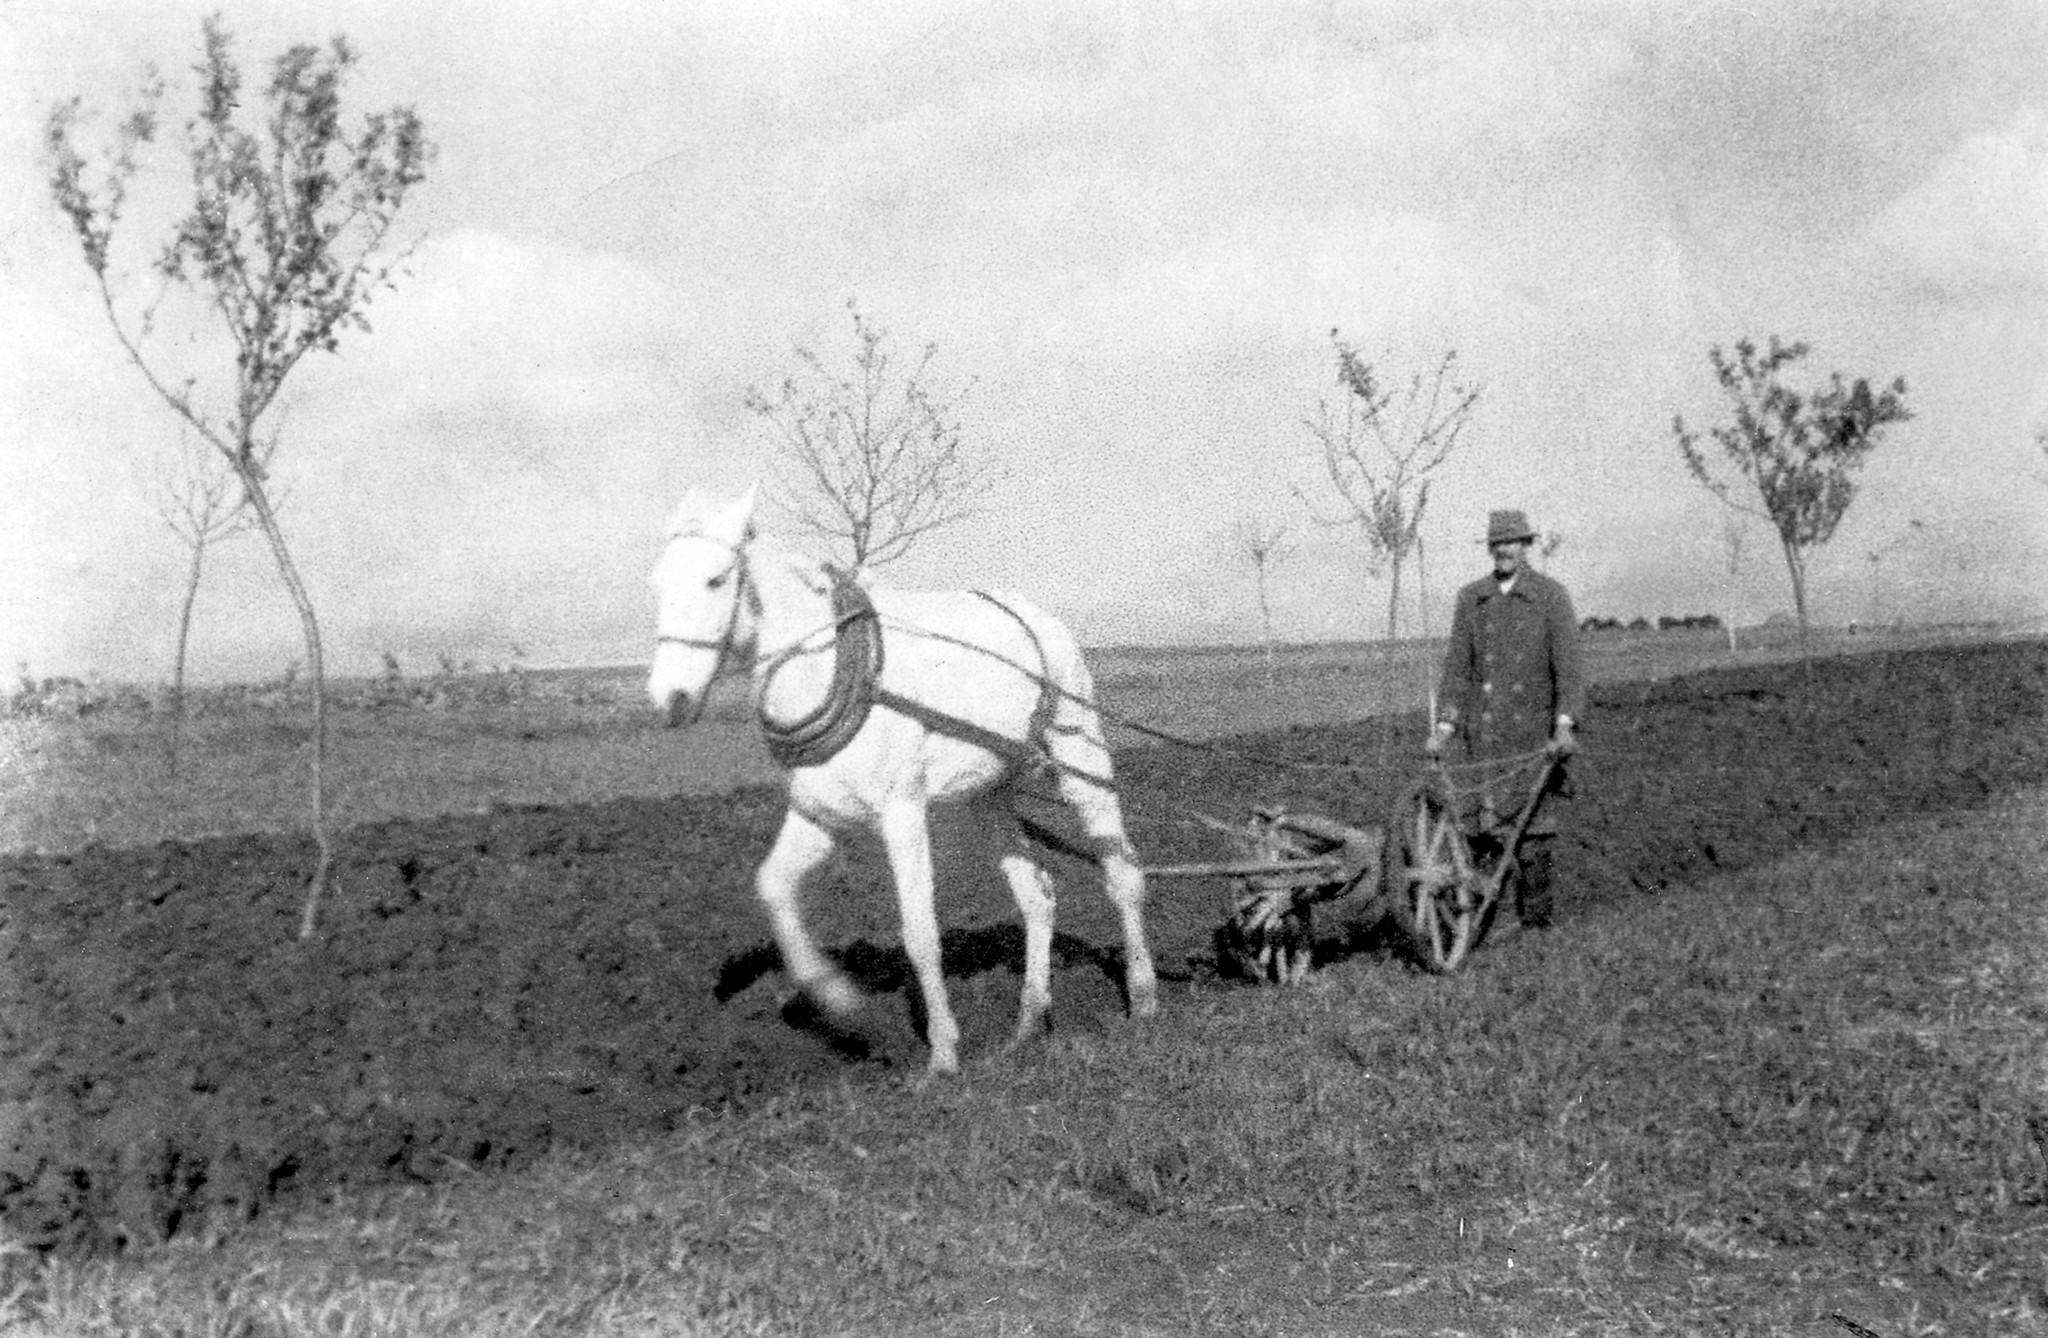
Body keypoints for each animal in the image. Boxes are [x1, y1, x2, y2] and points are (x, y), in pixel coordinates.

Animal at [647, 487, 1163, 1073]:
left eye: (715, 579)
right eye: (657, 583)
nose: (669, 700)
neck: (828, 673)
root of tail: (1040, 618)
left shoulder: (902, 814)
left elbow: (919, 932)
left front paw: (943, 1052)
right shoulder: (817, 817)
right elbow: (773, 887)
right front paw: (837, 998)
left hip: (1082, 761)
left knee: (1121, 873)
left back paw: (1143, 998)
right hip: (989, 796)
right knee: (1037, 894)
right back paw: (1030, 1021)